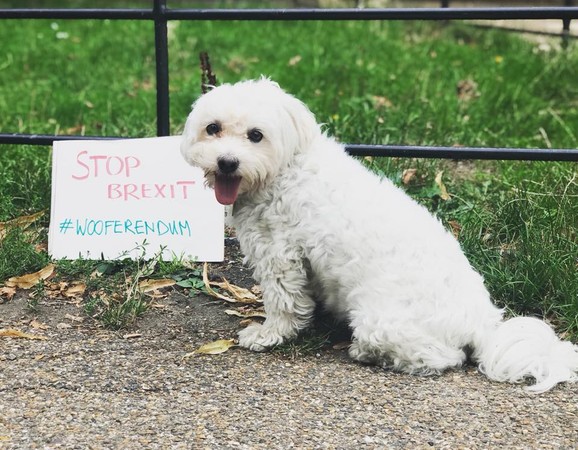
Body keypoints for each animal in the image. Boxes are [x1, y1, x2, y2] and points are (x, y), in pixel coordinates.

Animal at [182, 79, 576, 392]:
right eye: (213, 128)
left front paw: (269, 334)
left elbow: (284, 304)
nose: (227, 162)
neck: (283, 170)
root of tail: (484, 325)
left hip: (379, 321)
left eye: (256, 135)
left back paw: (369, 353)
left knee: (443, 358)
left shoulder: (280, 256)